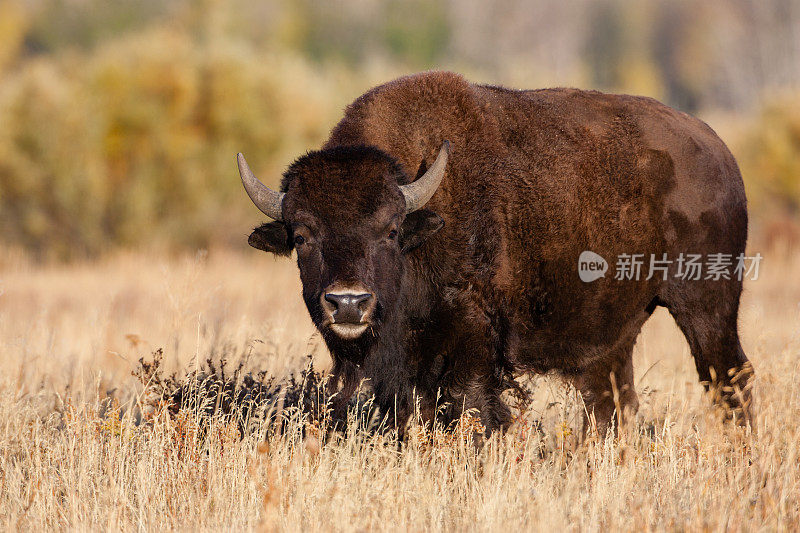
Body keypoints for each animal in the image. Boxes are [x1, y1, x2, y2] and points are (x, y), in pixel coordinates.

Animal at [241, 70, 752, 434]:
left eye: (390, 230)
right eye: (301, 236)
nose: (348, 303)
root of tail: (719, 152)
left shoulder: (472, 341)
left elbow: (471, 408)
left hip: (706, 304)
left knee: (730, 381)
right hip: (615, 336)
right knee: (614, 404)